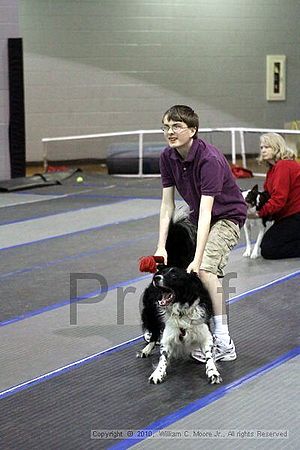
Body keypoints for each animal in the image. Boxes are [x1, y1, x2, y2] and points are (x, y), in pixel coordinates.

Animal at [137, 211, 221, 384]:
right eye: (163, 273)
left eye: (174, 275)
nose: (157, 278)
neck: (182, 308)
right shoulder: (168, 333)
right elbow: (163, 356)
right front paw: (158, 373)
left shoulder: (204, 332)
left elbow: (209, 355)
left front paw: (213, 372)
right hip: (150, 313)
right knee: (153, 333)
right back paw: (146, 349)